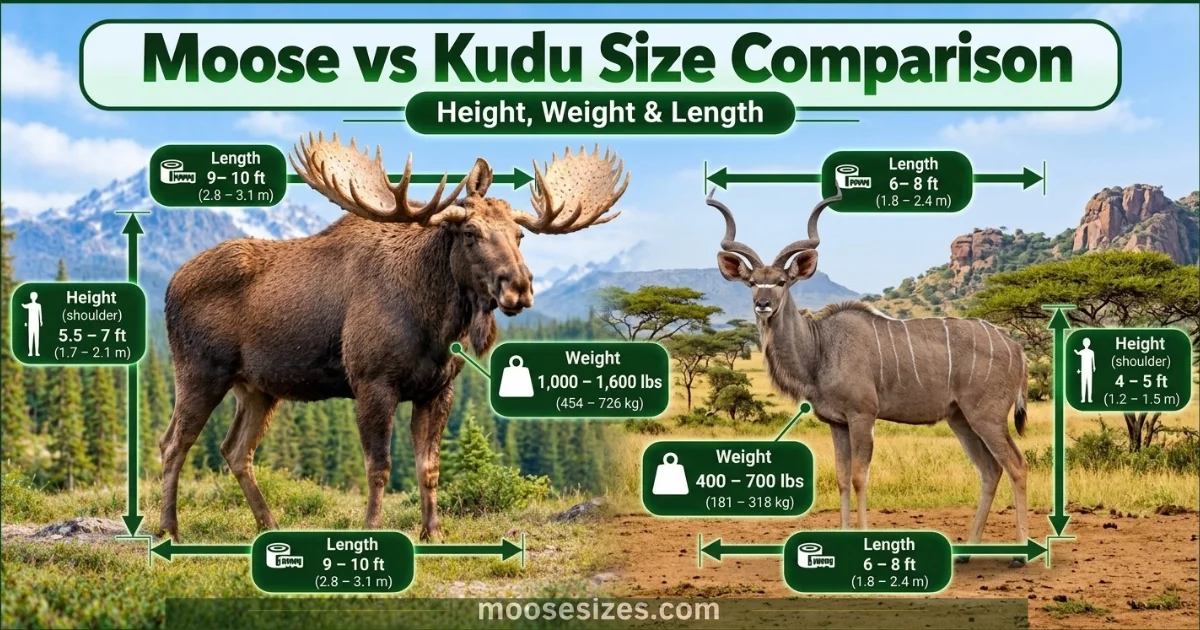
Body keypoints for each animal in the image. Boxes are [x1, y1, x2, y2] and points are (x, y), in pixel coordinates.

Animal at [158, 132, 628, 542]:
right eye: (470, 233)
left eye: (520, 235)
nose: (519, 287)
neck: (435, 322)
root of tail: (169, 286)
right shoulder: (372, 381)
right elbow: (379, 466)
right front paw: (373, 528)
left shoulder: (438, 389)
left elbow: (429, 467)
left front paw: (434, 531)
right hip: (200, 371)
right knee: (173, 444)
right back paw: (169, 530)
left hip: (258, 388)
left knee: (235, 450)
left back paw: (268, 525)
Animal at [708, 189, 1031, 567]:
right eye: (751, 282)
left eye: (781, 282)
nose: (762, 304)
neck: (821, 348)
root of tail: (1017, 348)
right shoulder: (837, 423)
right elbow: (841, 478)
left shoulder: (862, 415)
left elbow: (860, 476)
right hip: (960, 419)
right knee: (990, 470)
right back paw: (966, 554)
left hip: (987, 416)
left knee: (1017, 465)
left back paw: (1019, 557)